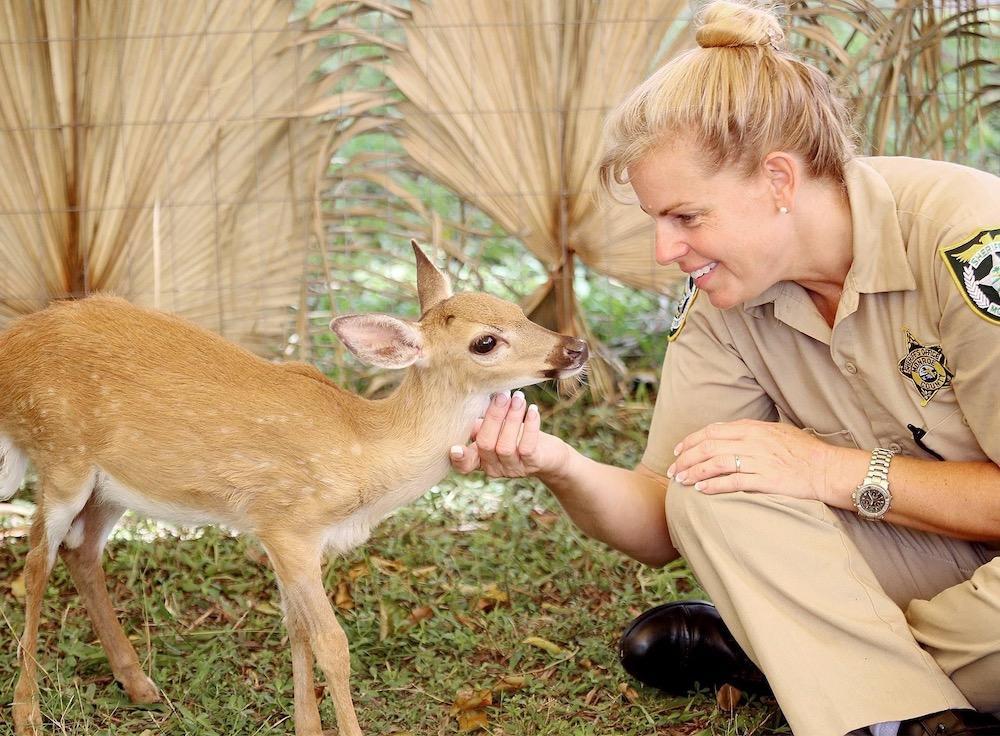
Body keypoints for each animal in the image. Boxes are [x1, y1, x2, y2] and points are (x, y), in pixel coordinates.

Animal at [0, 241, 588, 736]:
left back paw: (139, 684)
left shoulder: (292, 540)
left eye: (518, 309)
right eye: (485, 341)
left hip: (112, 488)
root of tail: (11, 351)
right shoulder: (288, 526)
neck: (366, 448)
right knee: (35, 562)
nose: (577, 347)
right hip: (61, 457)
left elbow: (297, 631)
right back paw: (28, 712)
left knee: (81, 552)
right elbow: (332, 644)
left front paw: (306, 727)